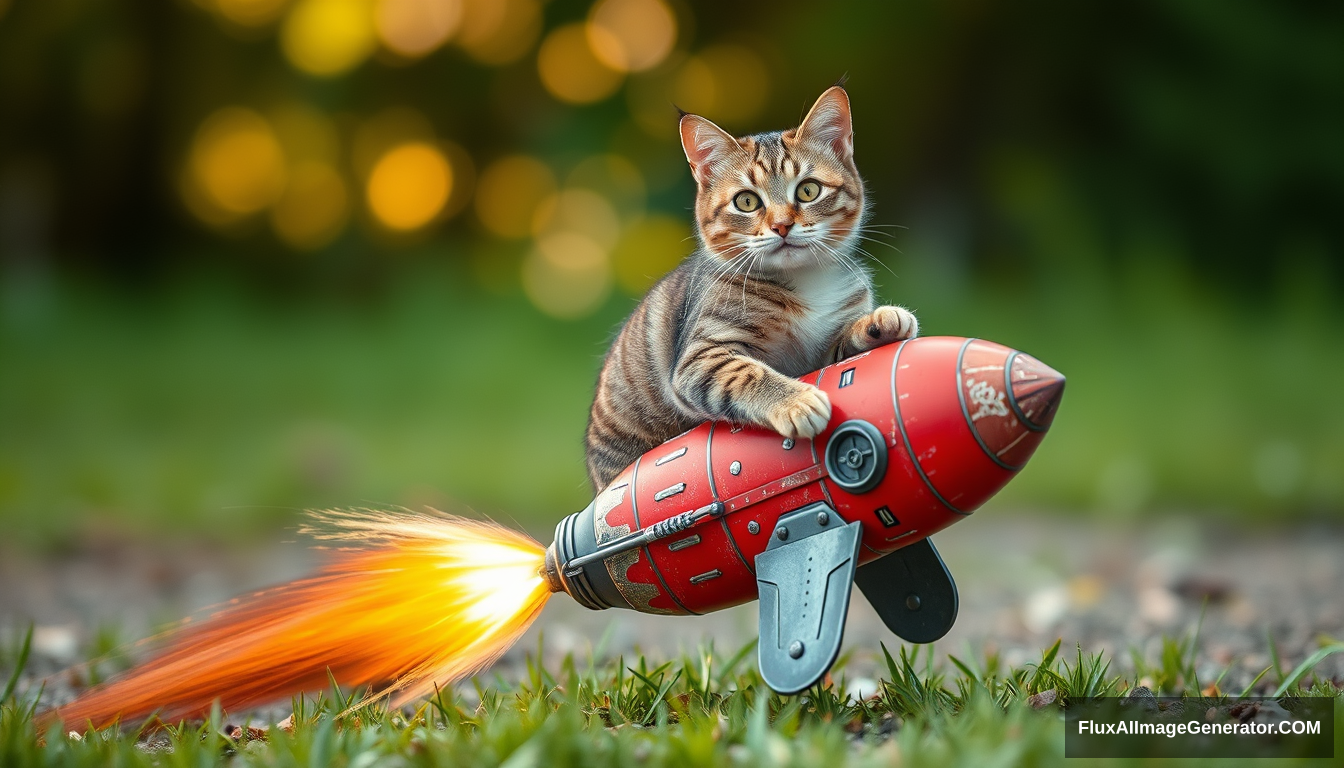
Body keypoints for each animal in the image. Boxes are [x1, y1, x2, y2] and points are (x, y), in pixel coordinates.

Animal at [583, 85, 919, 492]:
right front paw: (796, 402)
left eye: (808, 190)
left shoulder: (820, 355)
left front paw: (878, 322)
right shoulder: (700, 357)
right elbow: (747, 373)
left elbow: (840, 344)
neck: (802, 282)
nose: (782, 225)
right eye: (746, 201)